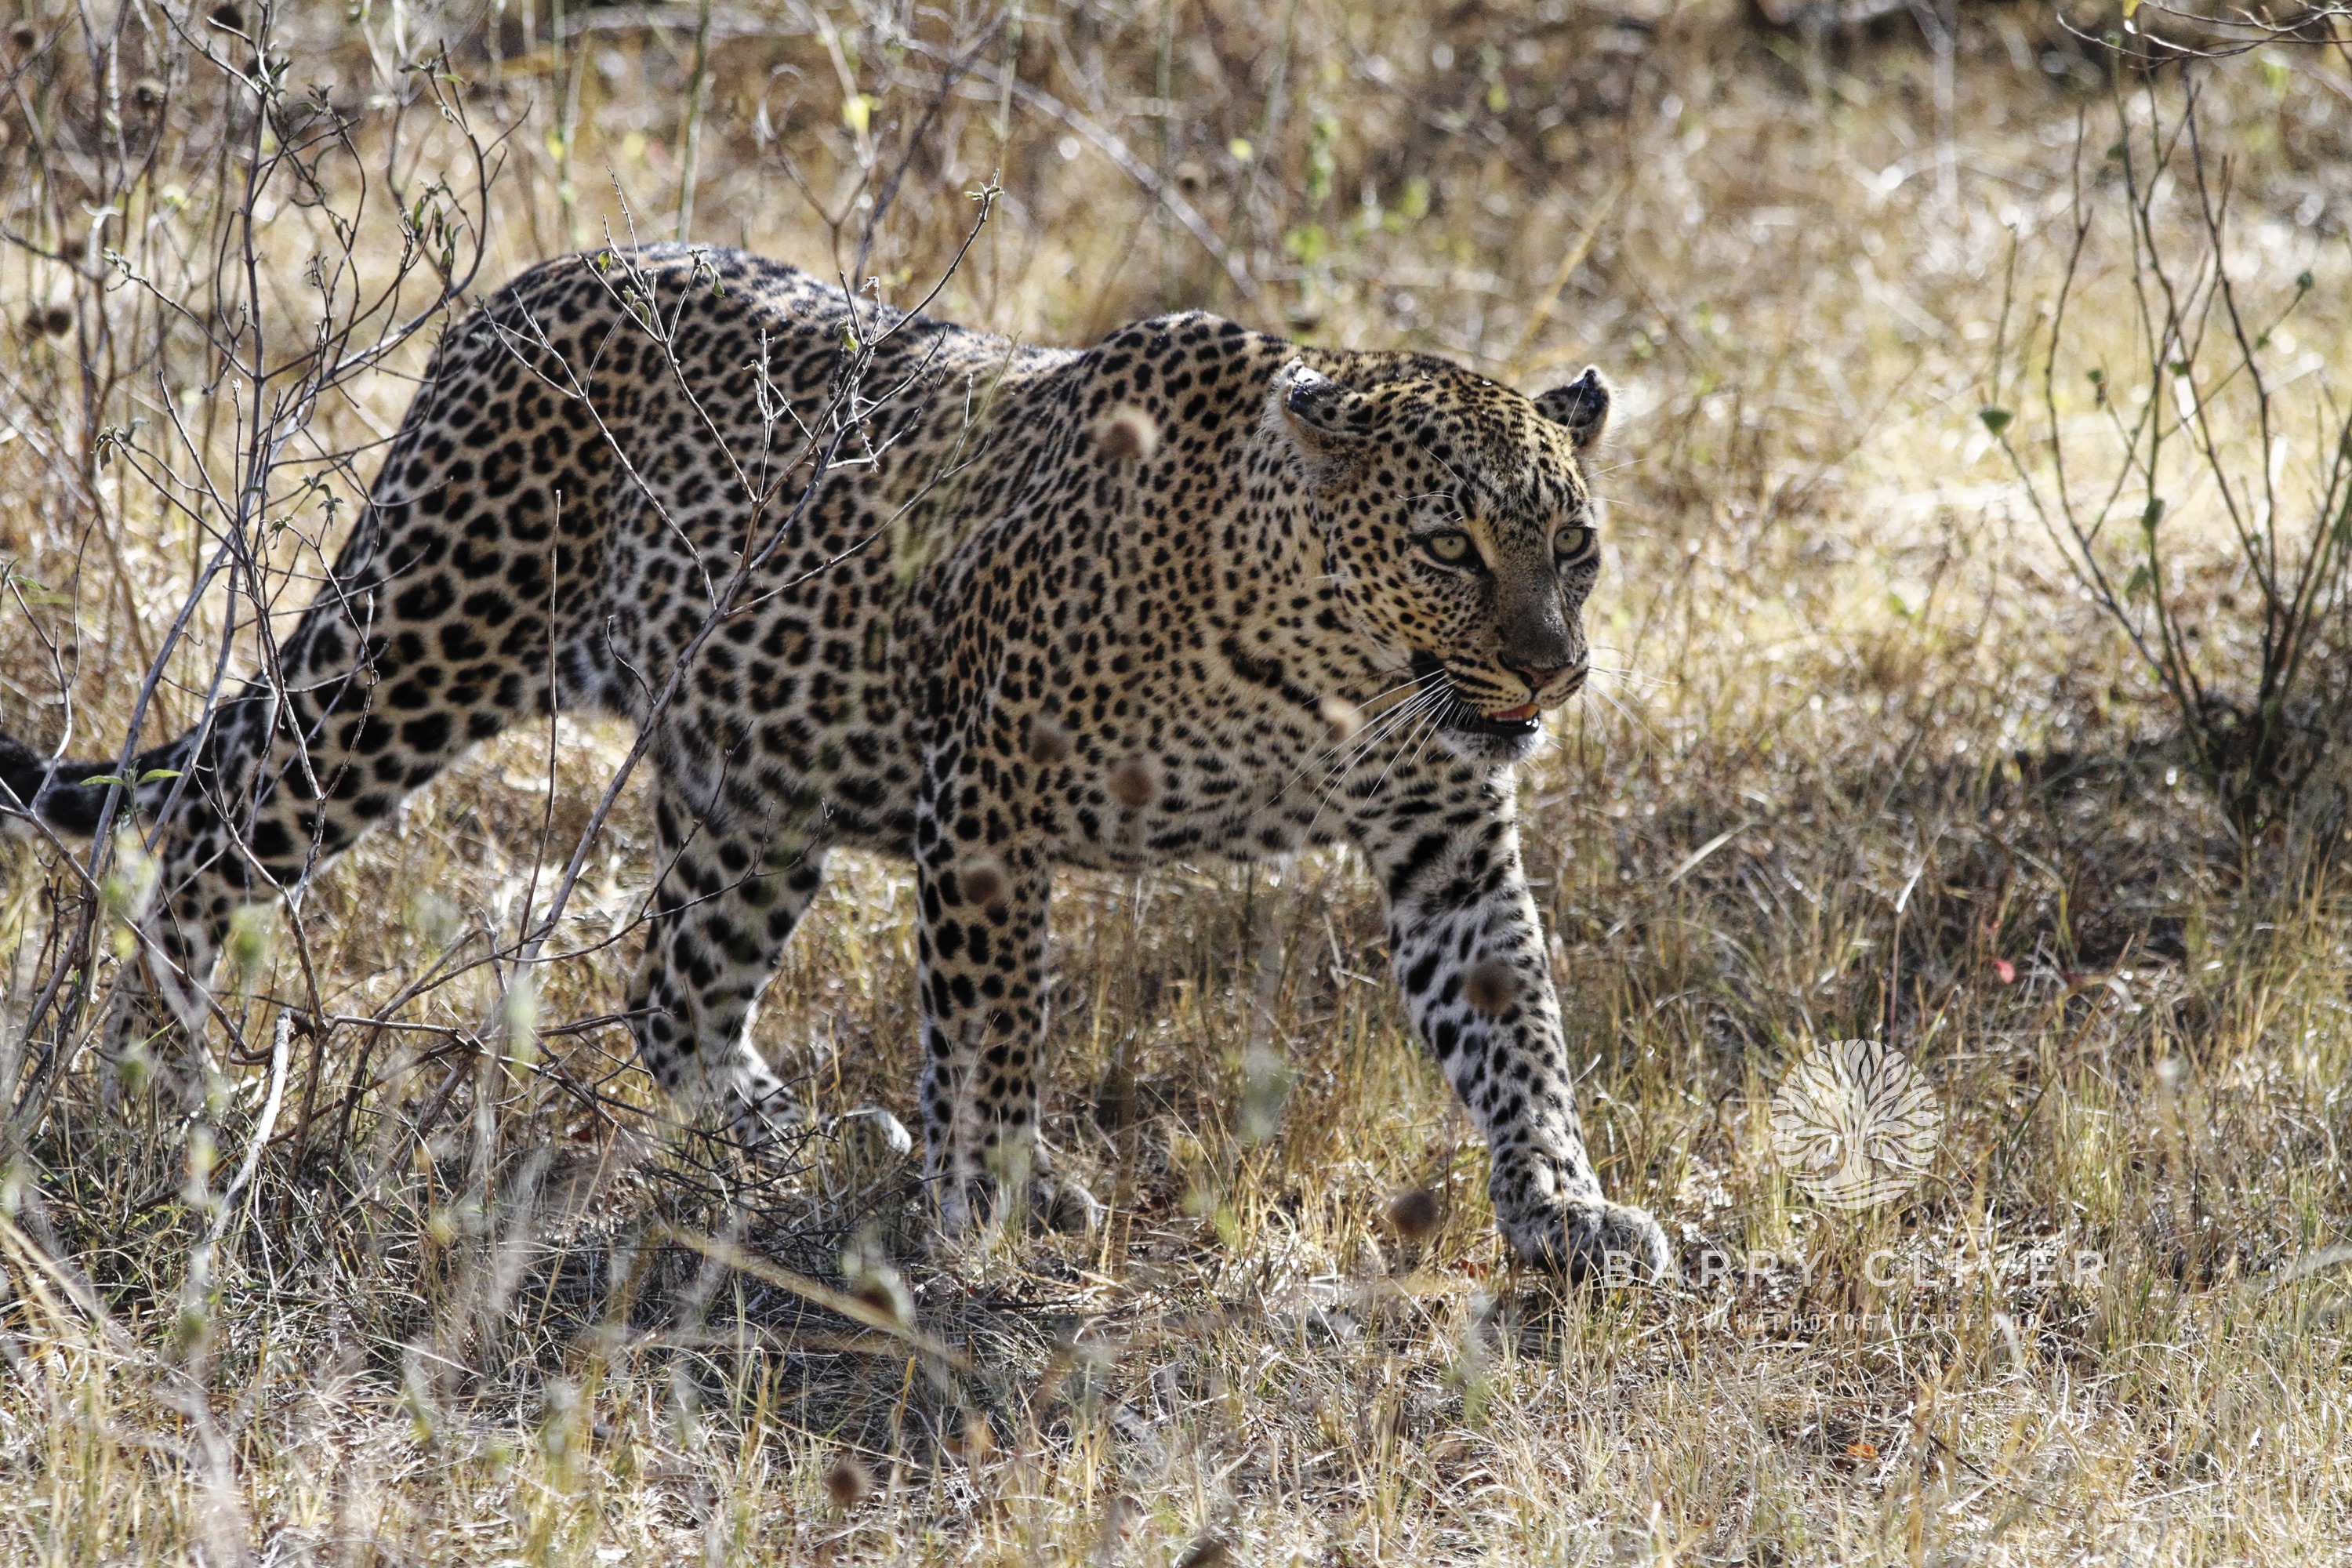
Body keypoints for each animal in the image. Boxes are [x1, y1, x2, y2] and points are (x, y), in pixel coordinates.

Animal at [0, 243, 1670, 1280]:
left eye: (1576, 546)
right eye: (1451, 548)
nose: (1552, 668)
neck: (1327, 679)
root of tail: (526, 288)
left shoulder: (1448, 833)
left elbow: (1514, 1030)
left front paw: (1567, 1212)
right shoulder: (989, 805)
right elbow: (989, 1033)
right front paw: (996, 1195)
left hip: (757, 779)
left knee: (673, 981)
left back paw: (803, 1145)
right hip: (420, 644)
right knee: (210, 830)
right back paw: (171, 1087)